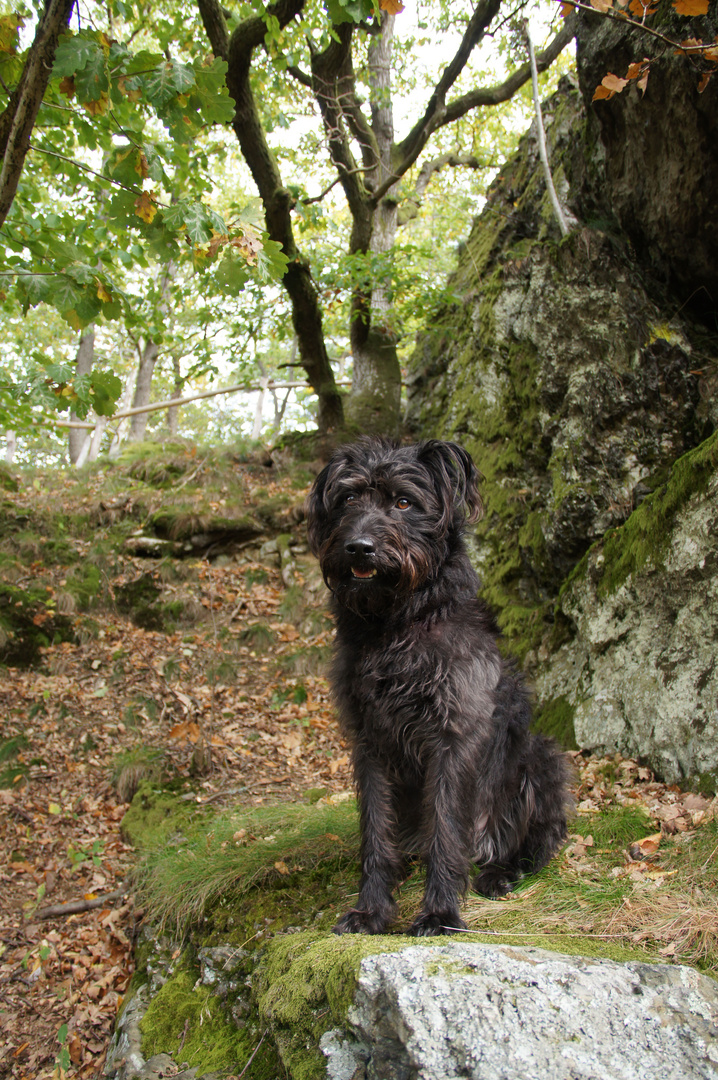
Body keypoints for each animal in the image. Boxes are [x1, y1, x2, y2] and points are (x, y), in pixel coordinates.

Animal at [304, 438, 570, 937]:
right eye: (348, 499)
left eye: (404, 502)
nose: (359, 548)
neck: (395, 623)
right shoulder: (370, 742)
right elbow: (375, 832)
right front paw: (372, 910)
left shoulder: (453, 734)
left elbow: (446, 829)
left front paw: (440, 913)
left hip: (541, 758)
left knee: (537, 840)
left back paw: (500, 871)